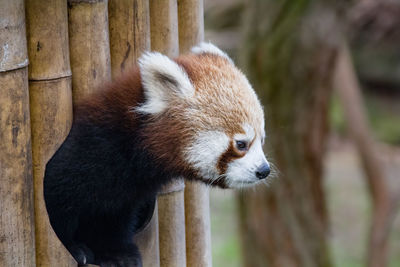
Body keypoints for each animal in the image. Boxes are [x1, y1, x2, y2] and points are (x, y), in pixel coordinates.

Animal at [43, 43, 270, 266]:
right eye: (241, 144)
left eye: (262, 140)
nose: (264, 170)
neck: (130, 146)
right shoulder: (86, 153)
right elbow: (57, 207)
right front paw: (74, 249)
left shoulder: (128, 191)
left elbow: (113, 217)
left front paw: (115, 253)